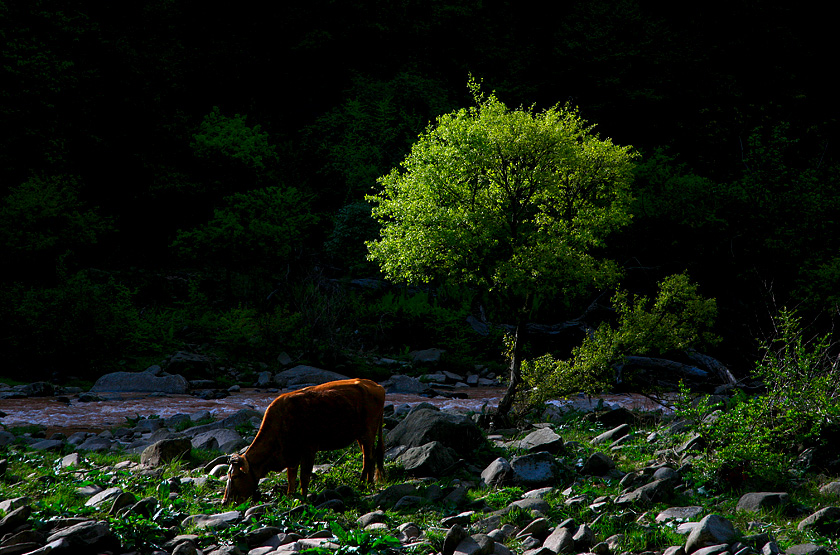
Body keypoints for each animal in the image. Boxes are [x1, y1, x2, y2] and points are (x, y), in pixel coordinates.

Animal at [220, 378, 384, 504]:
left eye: (235, 476)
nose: (224, 501)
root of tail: (375, 385)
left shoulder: (309, 449)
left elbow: (304, 477)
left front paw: (303, 498)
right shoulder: (291, 455)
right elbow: (291, 477)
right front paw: (290, 496)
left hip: (368, 432)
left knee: (367, 458)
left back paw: (362, 484)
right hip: (360, 435)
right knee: (371, 456)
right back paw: (369, 483)